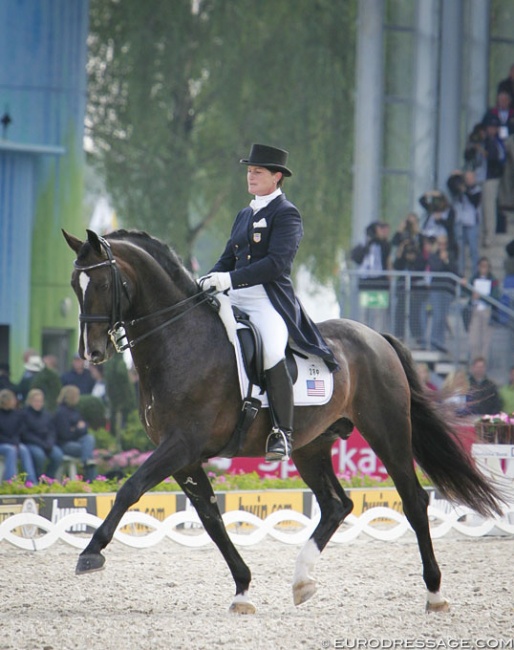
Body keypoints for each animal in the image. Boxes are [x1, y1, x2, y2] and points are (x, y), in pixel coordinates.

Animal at [61, 229, 500, 612]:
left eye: (103, 283)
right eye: (73, 285)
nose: (91, 352)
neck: (179, 340)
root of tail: (377, 337)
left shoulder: (180, 445)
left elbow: (129, 489)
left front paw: (91, 553)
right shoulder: (184, 458)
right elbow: (210, 518)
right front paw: (242, 589)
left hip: (387, 431)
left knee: (413, 500)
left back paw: (435, 593)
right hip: (311, 446)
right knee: (337, 504)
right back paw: (302, 581)